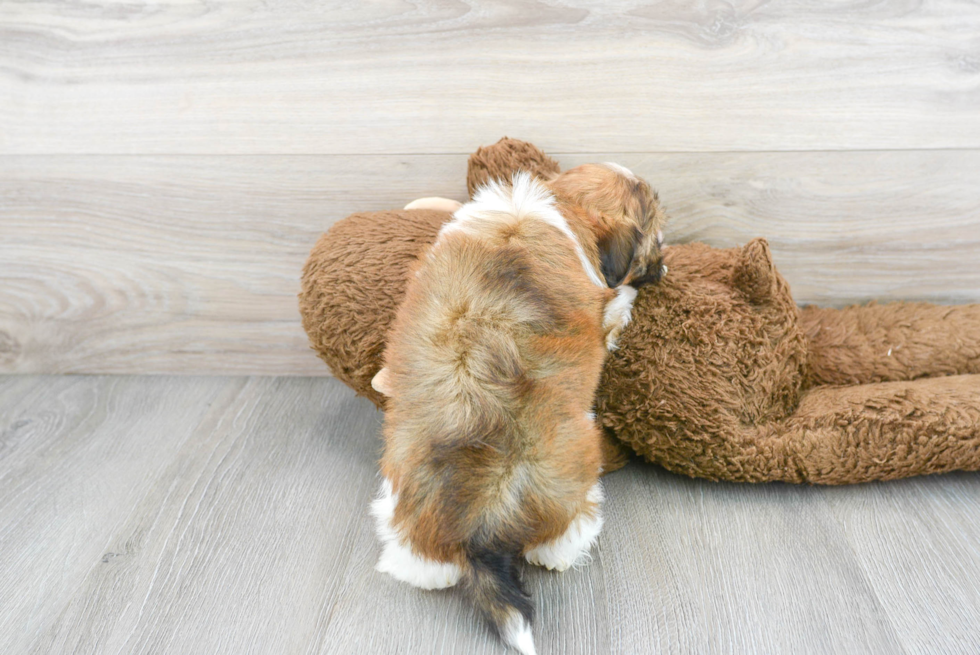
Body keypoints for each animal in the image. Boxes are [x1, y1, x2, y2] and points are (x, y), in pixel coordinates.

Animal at [370, 165, 668, 655]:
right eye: (656, 239)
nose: (666, 266)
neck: (561, 205)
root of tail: (479, 529)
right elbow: (614, 305)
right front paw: (627, 299)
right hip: (571, 483)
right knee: (562, 537)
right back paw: (569, 550)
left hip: (402, 495)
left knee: (419, 559)